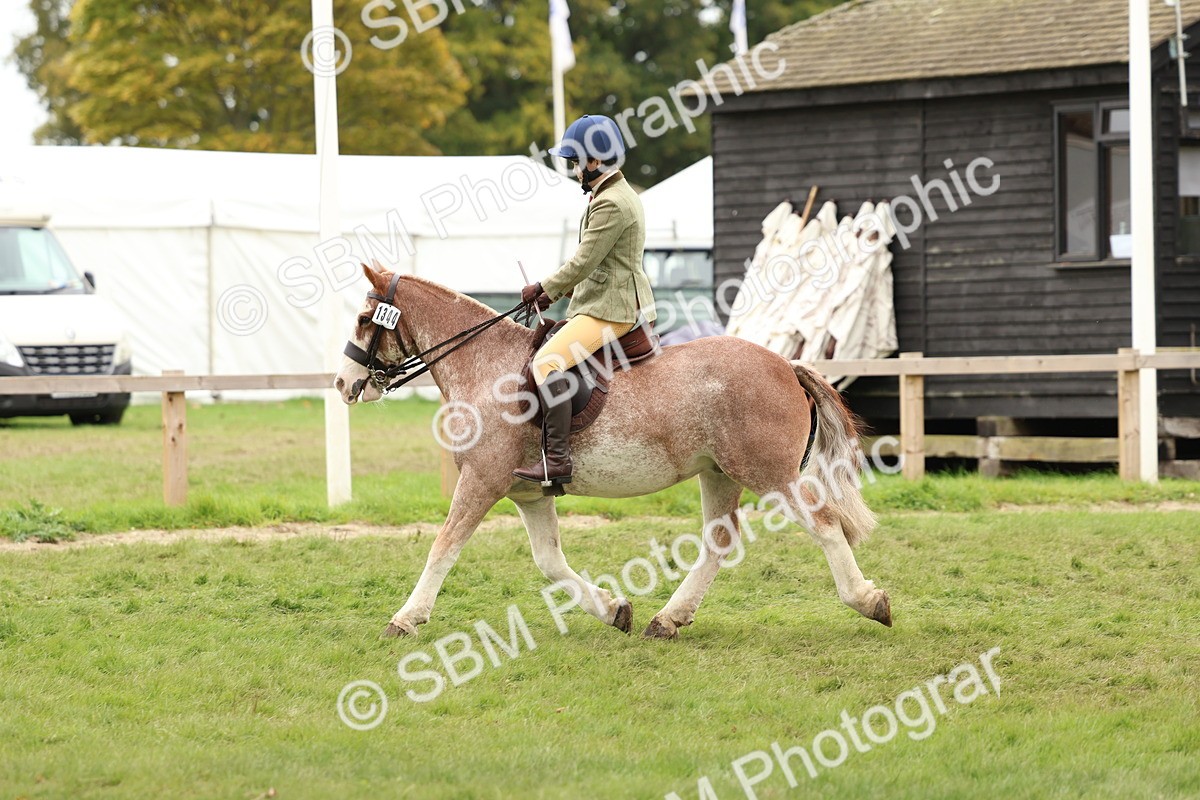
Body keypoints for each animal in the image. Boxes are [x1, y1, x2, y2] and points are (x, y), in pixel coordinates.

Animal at [334, 263, 891, 639]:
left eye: (363, 317)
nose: (342, 384)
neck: (487, 365)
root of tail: (785, 365)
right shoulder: (528, 494)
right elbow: (550, 561)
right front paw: (612, 609)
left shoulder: (482, 481)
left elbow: (443, 547)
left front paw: (406, 618)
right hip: (718, 472)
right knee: (719, 541)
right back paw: (668, 619)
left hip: (770, 474)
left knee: (824, 525)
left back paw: (867, 600)